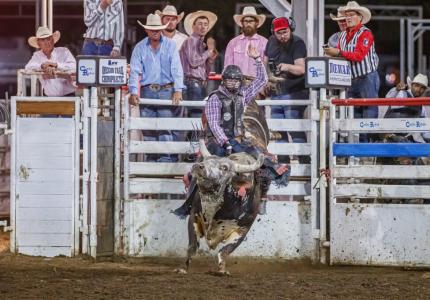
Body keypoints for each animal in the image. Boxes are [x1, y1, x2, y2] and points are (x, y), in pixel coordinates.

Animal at [174, 101, 288, 276]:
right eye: (206, 161)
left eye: (225, 168)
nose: (199, 167)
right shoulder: (194, 216)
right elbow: (192, 246)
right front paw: (182, 269)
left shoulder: (243, 228)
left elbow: (225, 251)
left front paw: (222, 270)